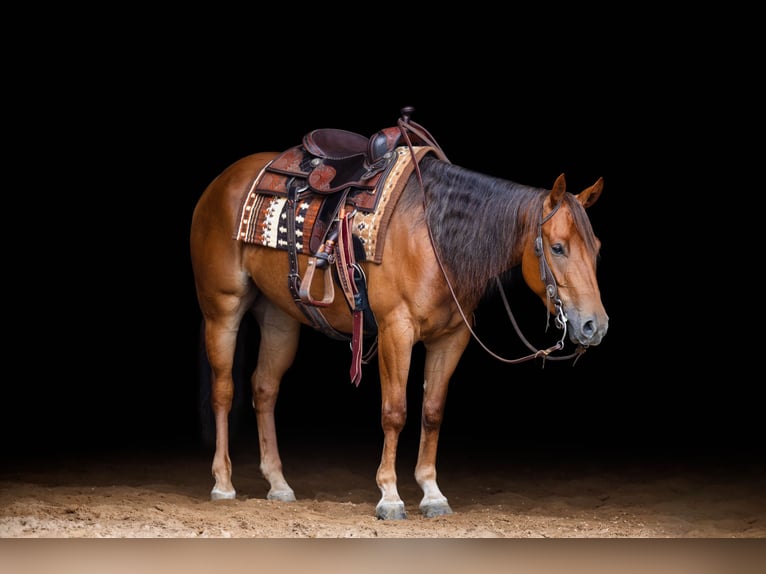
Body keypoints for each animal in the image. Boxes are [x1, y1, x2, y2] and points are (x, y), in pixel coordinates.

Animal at [189, 111, 608, 520]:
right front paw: (389, 496)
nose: (595, 325)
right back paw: (223, 483)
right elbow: (395, 411)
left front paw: (432, 493)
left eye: (597, 248)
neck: (435, 235)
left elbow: (432, 412)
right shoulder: (396, 331)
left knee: (264, 389)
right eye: (558, 247)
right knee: (224, 390)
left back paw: (278, 484)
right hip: (223, 307)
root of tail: (222, 182)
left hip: (280, 317)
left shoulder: (451, 338)